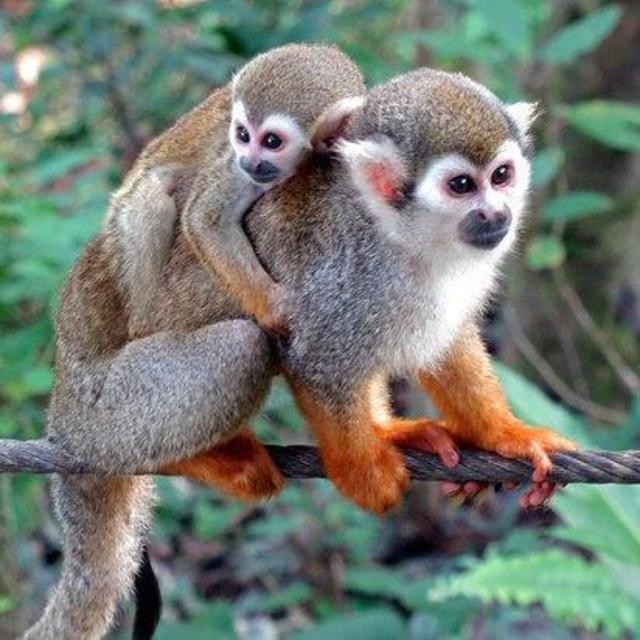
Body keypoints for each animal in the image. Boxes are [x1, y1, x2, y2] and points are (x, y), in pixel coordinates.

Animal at [111, 43, 365, 338]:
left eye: (272, 141)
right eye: (243, 135)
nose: (249, 162)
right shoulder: (233, 159)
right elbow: (205, 219)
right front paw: (272, 307)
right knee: (153, 204)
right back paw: (143, 326)